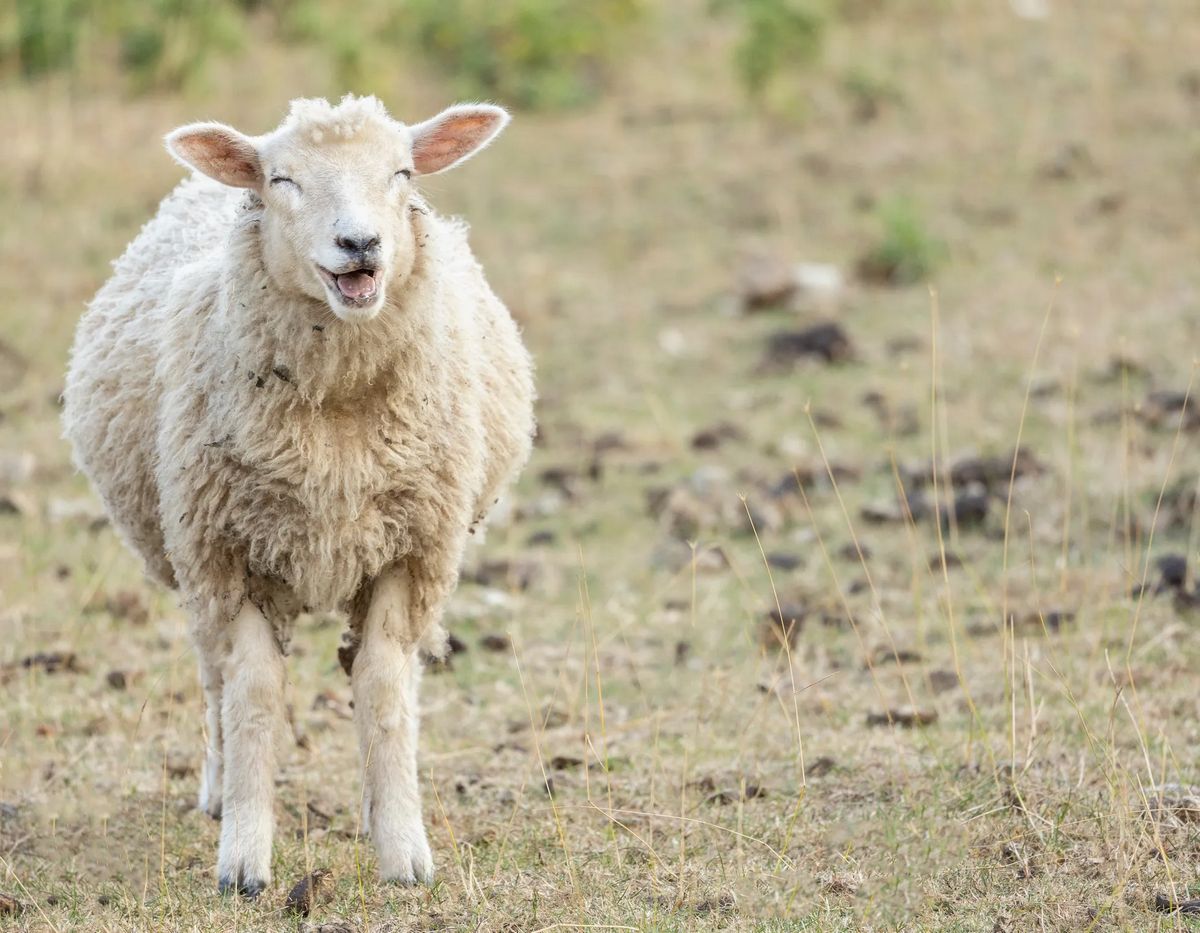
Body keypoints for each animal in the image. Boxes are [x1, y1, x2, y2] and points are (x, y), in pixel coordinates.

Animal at [59, 94, 540, 892]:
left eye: (403, 173)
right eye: (281, 179)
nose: (360, 243)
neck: (336, 418)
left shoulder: (411, 550)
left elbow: (383, 687)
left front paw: (402, 848)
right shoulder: (230, 551)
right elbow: (252, 692)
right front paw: (244, 860)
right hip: (189, 554)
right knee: (214, 677)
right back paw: (220, 791)